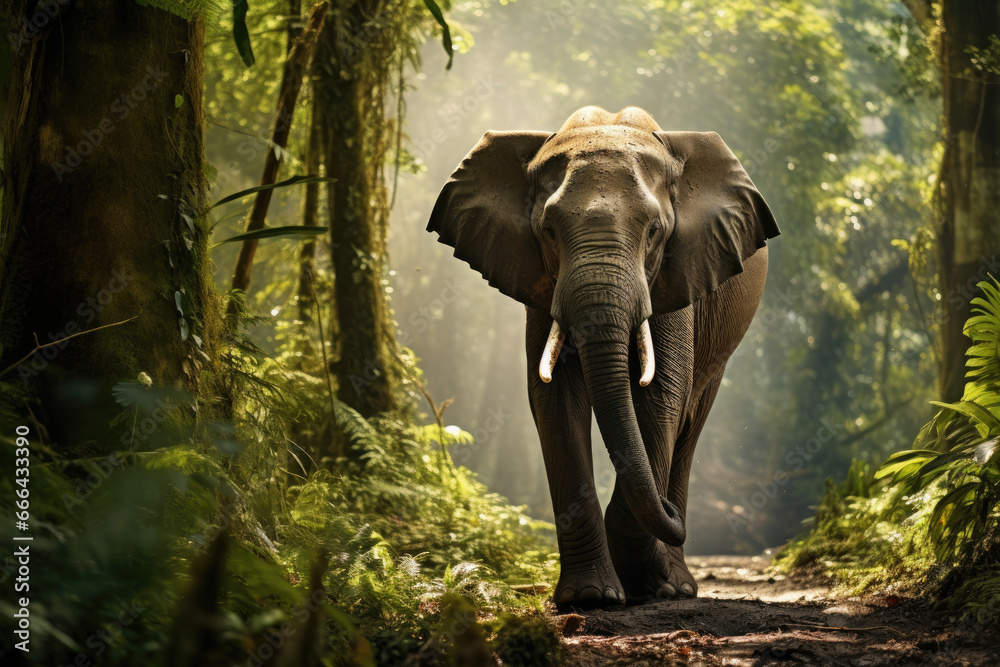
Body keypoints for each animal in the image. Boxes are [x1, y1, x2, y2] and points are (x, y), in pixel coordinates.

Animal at [426, 106, 778, 609]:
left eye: (655, 232)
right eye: (548, 231)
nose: (669, 511)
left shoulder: (676, 275)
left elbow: (662, 396)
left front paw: (639, 584)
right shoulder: (541, 282)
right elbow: (553, 398)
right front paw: (591, 598)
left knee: (691, 420)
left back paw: (675, 585)